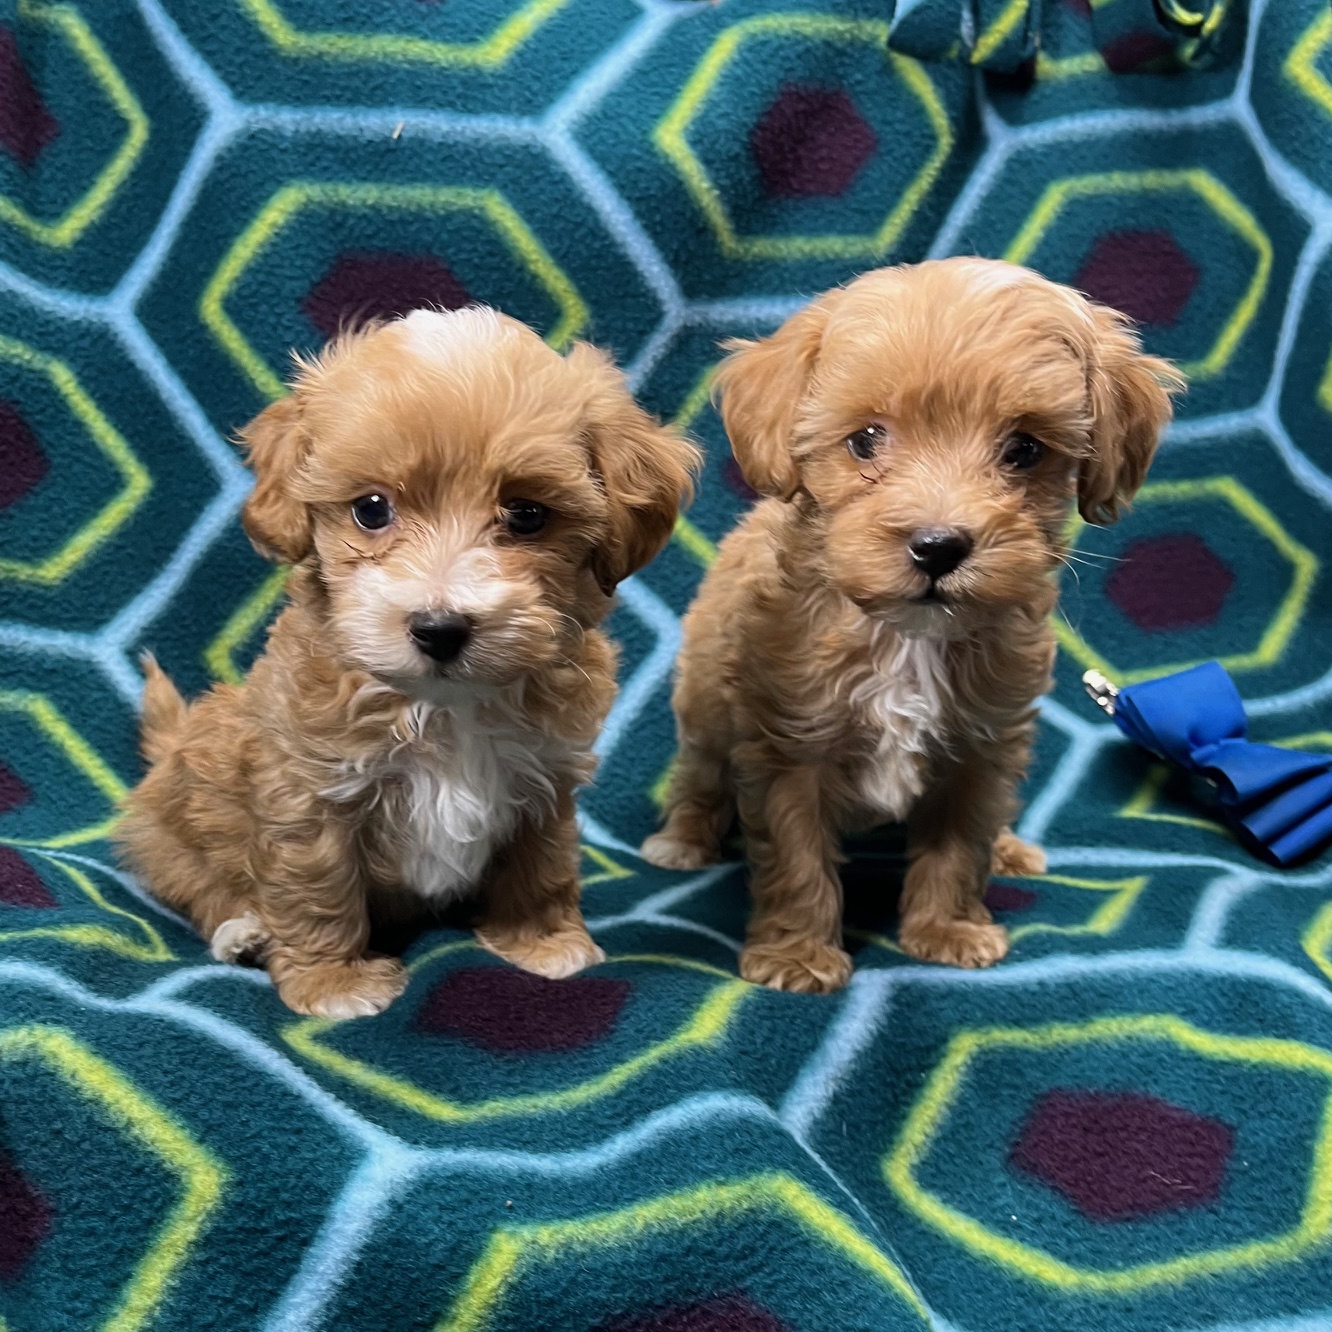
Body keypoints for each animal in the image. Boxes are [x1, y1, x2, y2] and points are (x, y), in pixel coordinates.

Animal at [117, 309, 697, 1017]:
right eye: (371, 509)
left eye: (527, 515)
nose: (439, 628)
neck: (445, 704)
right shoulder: (308, 793)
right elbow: (317, 888)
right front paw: (333, 982)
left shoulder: (546, 778)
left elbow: (542, 862)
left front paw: (540, 940)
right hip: (178, 827)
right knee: (198, 884)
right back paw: (242, 930)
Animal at [639, 257, 1182, 991]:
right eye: (866, 439)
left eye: (1025, 449)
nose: (939, 545)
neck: (909, 638)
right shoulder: (788, 747)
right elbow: (794, 853)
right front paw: (797, 953)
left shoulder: (983, 748)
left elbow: (960, 843)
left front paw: (947, 928)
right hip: (701, 698)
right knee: (699, 771)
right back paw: (683, 840)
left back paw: (1011, 848)